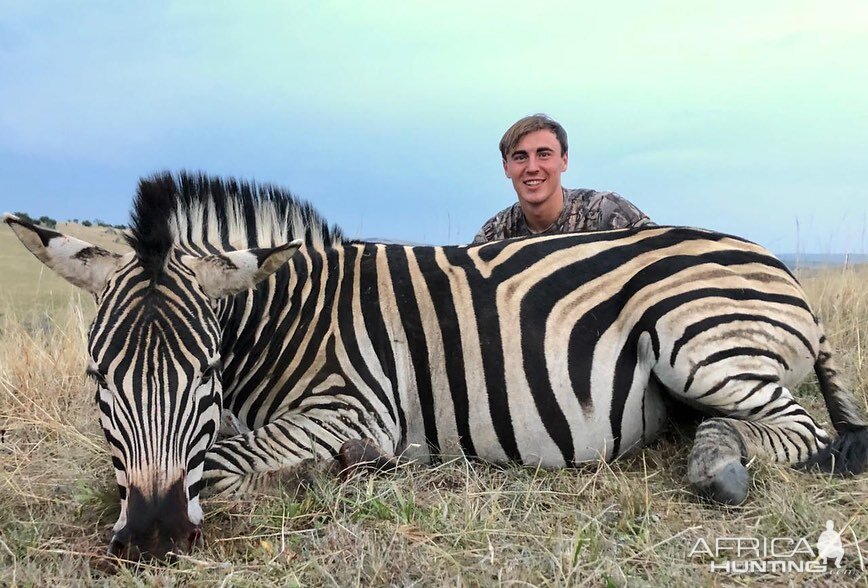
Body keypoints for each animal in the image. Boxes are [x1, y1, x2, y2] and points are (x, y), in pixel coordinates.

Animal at [3, 171, 864, 560]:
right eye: (97, 380)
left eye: (206, 372)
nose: (153, 535)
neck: (287, 317)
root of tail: (778, 265)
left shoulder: (357, 404)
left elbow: (225, 455)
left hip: (696, 339)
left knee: (802, 432)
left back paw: (717, 466)